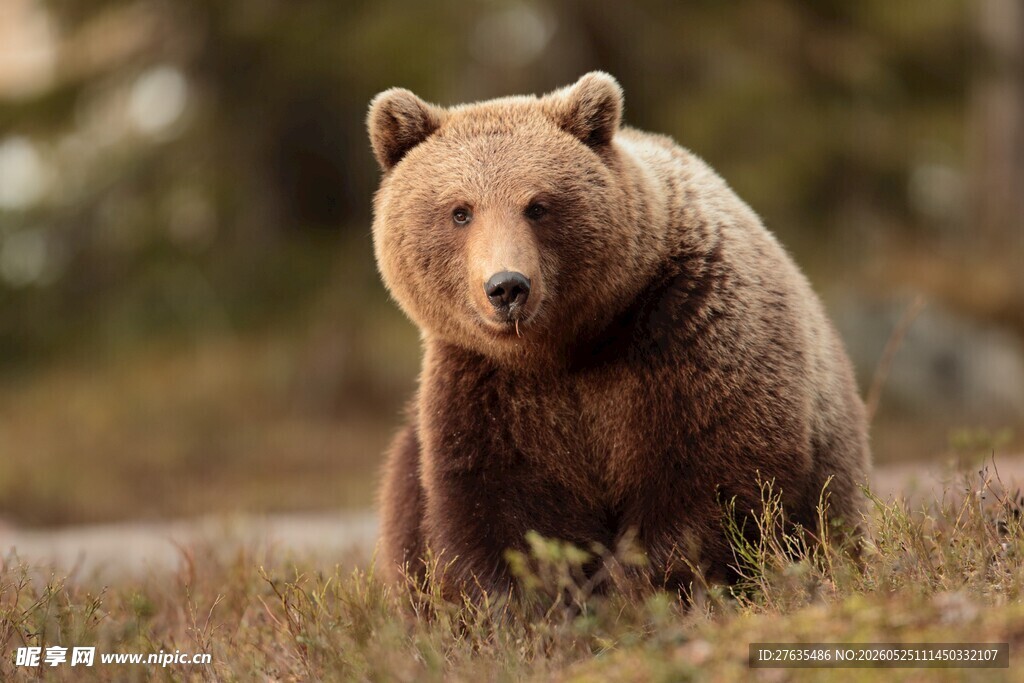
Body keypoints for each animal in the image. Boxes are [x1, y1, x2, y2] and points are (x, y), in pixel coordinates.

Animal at [366, 72, 870, 599]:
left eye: (537, 205)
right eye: (460, 211)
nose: (506, 287)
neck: (567, 347)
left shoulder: (689, 335)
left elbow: (704, 480)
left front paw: (631, 589)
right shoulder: (488, 388)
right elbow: (499, 507)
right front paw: (539, 599)